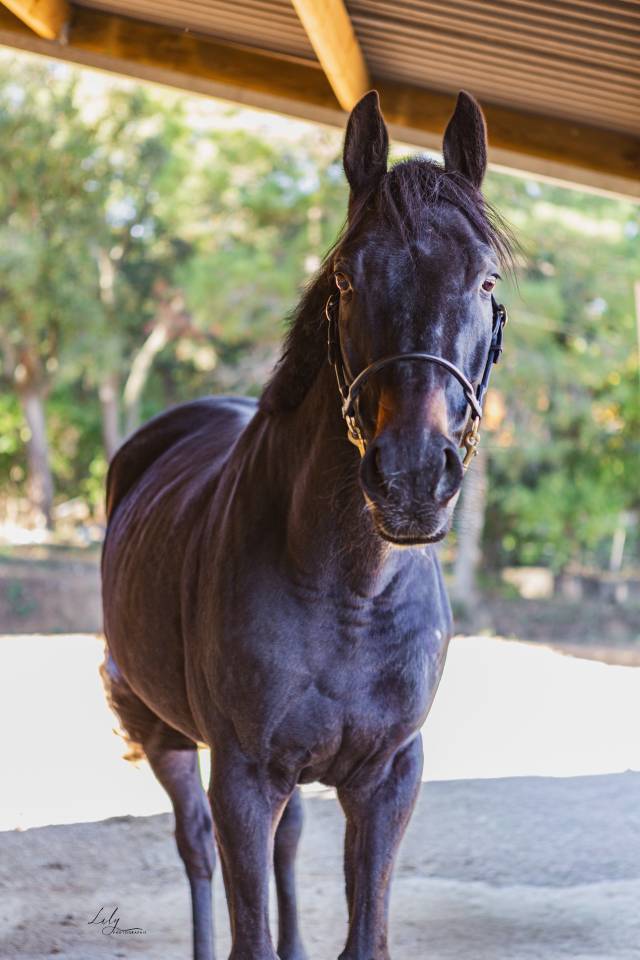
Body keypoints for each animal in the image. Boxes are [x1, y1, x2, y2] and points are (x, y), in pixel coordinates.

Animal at [101, 89, 510, 960]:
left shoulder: (388, 778)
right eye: (348, 279)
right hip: (163, 734)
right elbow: (244, 926)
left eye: (486, 278)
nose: (412, 477)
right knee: (195, 848)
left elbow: (363, 933)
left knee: (285, 846)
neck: (350, 594)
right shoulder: (244, 776)